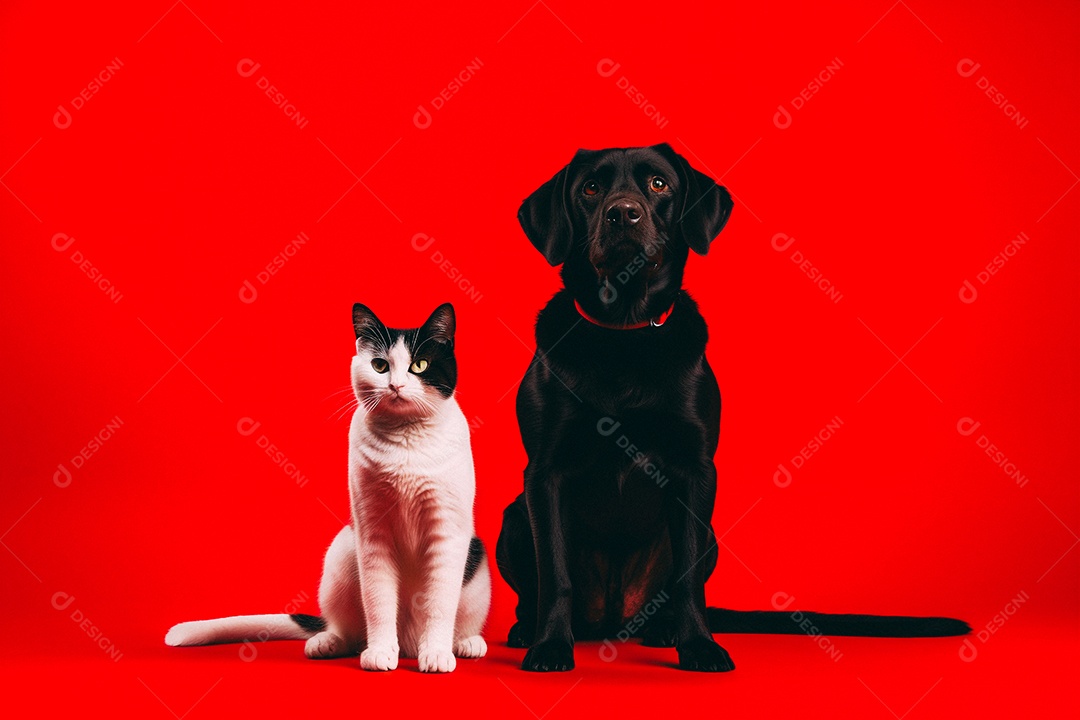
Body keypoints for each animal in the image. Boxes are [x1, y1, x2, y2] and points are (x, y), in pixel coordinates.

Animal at [167, 302, 490, 673]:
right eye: (379, 365)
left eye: (419, 364)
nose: (395, 385)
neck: (406, 440)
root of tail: (408, 642)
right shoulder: (372, 531)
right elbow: (378, 601)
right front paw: (380, 652)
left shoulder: (447, 531)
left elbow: (439, 601)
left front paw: (436, 653)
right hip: (343, 550)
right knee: (348, 630)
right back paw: (328, 642)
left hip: (476, 562)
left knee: (459, 618)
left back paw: (465, 643)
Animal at [494, 143, 967, 673]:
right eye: (591, 189)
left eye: (658, 184)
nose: (623, 213)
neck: (625, 331)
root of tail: (612, 621)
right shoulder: (545, 474)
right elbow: (555, 572)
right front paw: (551, 646)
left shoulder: (695, 470)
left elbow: (686, 580)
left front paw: (699, 645)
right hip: (514, 516)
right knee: (534, 590)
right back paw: (527, 630)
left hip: (711, 535)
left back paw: (663, 631)